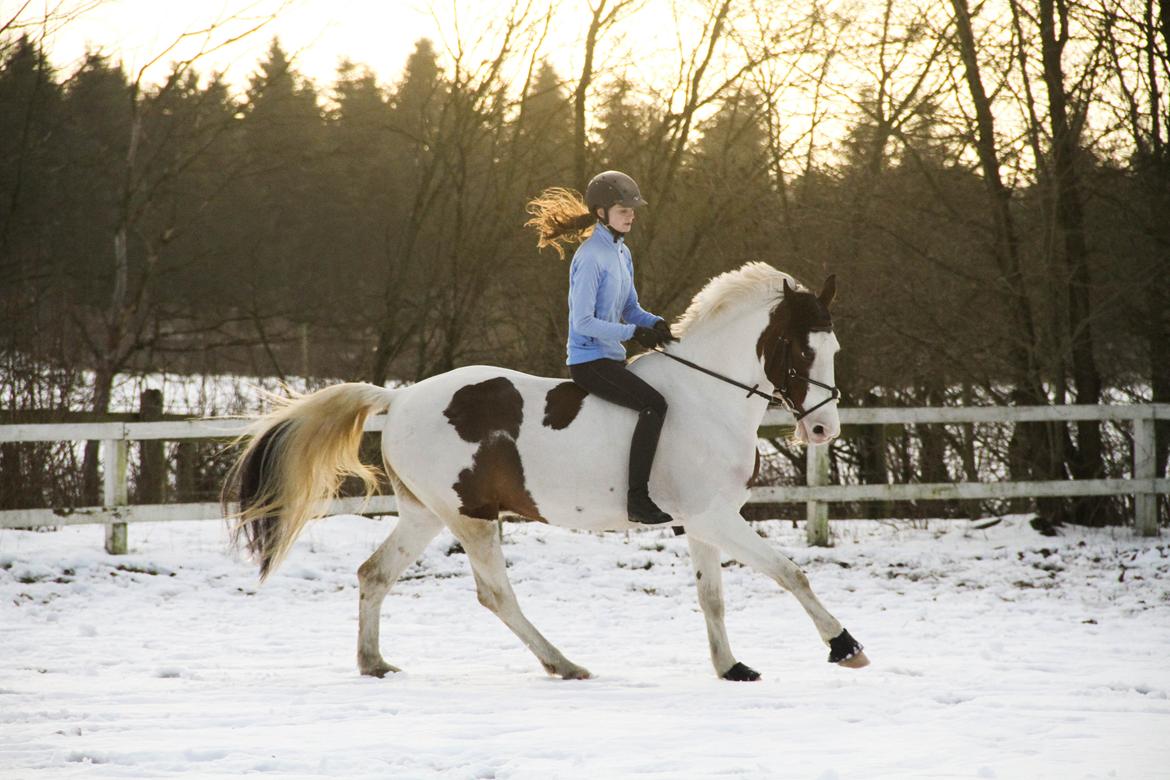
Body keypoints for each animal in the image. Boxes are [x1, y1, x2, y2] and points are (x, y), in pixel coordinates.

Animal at [223, 260, 870, 678]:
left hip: (425, 514)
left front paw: (731, 667)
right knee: (495, 595)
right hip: (471, 518)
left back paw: (374, 663)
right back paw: (564, 663)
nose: (822, 431)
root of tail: (401, 399)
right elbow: (791, 573)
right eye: (800, 348)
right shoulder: (715, 517)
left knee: (374, 574)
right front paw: (844, 646)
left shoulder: (704, 521)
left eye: (834, 348)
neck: (707, 397)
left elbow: (711, 596)